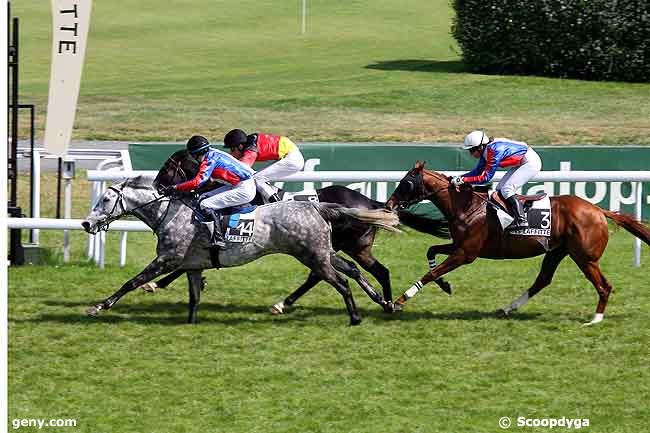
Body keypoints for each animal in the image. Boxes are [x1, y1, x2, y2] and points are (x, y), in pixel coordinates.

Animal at [78, 176, 398, 324]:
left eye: (106, 200)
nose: (86, 223)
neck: (171, 212)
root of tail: (316, 206)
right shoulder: (192, 264)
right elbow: (193, 296)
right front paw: (190, 322)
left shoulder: (168, 258)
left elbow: (132, 282)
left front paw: (99, 306)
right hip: (325, 253)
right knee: (353, 271)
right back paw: (384, 301)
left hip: (313, 256)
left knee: (340, 281)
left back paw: (355, 317)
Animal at [384, 162, 648, 324]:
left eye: (407, 182)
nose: (389, 204)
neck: (467, 206)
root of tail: (598, 210)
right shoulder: (459, 246)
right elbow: (431, 253)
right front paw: (445, 285)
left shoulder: (466, 253)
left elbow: (431, 273)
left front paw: (398, 301)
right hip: (557, 251)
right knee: (542, 280)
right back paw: (508, 308)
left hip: (585, 257)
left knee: (604, 286)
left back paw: (595, 319)